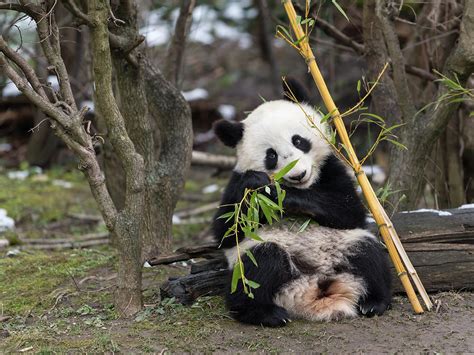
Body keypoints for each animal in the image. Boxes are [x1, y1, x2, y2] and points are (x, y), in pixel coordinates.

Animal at [213, 79, 390, 326]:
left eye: (298, 140)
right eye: (271, 155)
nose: (298, 175)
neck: (305, 186)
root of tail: (314, 287)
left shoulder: (332, 169)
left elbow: (350, 210)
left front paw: (280, 195)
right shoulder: (235, 184)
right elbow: (226, 231)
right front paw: (259, 184)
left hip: (344, 245)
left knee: (369, 256)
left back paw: (373, 302)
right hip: (262, 259)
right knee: (260, 263)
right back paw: (265, 313)